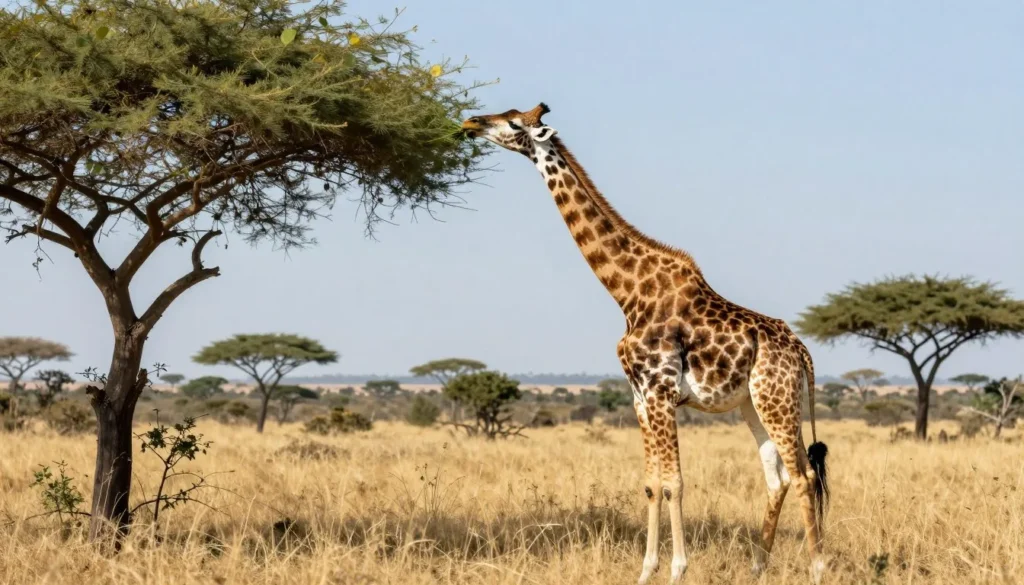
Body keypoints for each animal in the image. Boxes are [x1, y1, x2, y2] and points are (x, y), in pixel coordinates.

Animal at [462, 104, 831, 584]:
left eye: (513, 123)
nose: (471, 123)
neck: (628, 292)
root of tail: (801, 350)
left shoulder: (660, 392)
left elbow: (675, 482)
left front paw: (677, 569)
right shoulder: (639, 396)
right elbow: (652, 484)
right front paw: (646, 569)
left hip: (776, 398)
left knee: (804, 476)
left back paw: (818, 568)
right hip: (755, 403)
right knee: (779, 476)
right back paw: (755, 567)